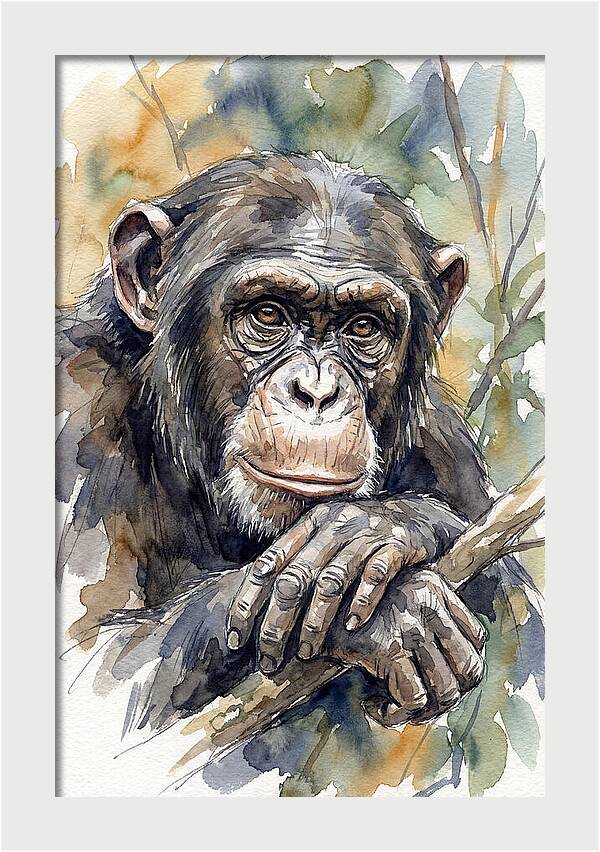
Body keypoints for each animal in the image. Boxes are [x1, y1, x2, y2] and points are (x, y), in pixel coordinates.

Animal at [57, 151, 538, 735]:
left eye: (364, 326)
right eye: (268, 314)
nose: (317, 391)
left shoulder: (445, 445)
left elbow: (523, 622)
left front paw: (377, 528)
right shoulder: (75, 410)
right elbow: (96, 673)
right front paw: (398, 612)